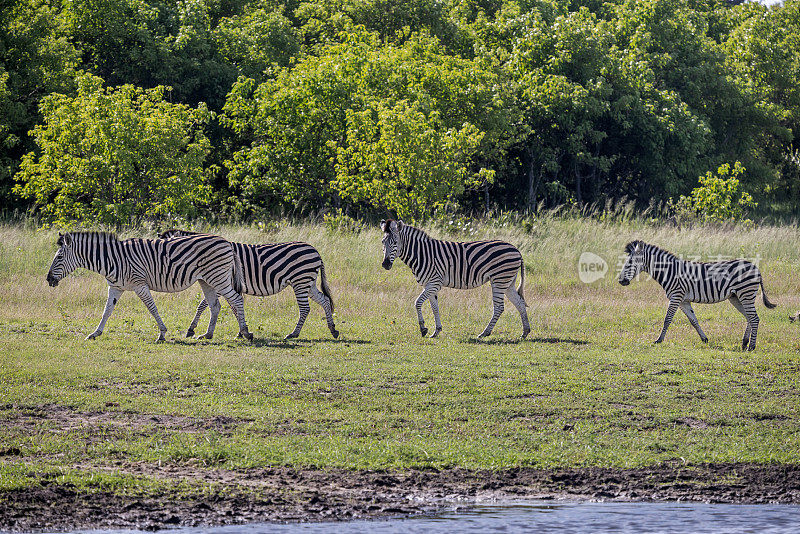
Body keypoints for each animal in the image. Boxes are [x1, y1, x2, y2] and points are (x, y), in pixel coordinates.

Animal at [45, 231, 252, 344]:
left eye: (59, 257)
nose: (48, 280)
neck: (112, 259)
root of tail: (226, 241)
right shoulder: (115, 287)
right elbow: (107, 311)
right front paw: (95, 333)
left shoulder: (139, 284)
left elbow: (152, 309)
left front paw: (161, 334)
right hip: (206, 280)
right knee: (215, 305)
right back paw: (207, 335)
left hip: (218, 277)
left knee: (236, 299)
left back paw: (245, 333)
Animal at [161, 229, 340, 340]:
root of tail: (315, 250)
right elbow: (233, 307)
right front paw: (242, 331)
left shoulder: (222, 282)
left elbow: (203, 305)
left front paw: (191, 329)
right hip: (308, 282)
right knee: (324, 300)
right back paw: (333, 329)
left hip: (301, 281)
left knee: (305, 308)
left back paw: (293, 334)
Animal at [382, 221, 532, 340]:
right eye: (383, 243)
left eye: (395, 243)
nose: (385, 264)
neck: (422, 254)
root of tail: (516, 249)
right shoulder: (430, 285)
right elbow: (435, 308)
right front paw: (436, 331)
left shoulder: (434, 283)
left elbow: (417, 302)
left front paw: (423, 329)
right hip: (508, 282)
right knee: (519, 303)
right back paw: (525, 332)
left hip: (499, 280)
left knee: (499, 307)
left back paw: (484, 333)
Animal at [620, 240, 776, 350]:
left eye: (629, 263)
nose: (621, 281)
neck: (670, 271)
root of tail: (755, 268)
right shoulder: (683, 301)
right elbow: (693, 320)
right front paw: (704, 339)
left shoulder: (676, 296)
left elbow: (667, 319)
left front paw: (659, 340)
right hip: (736, 297)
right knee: (749, 317)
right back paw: (744, 343)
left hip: (745, 294)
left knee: (754, 318)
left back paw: (751, 347)